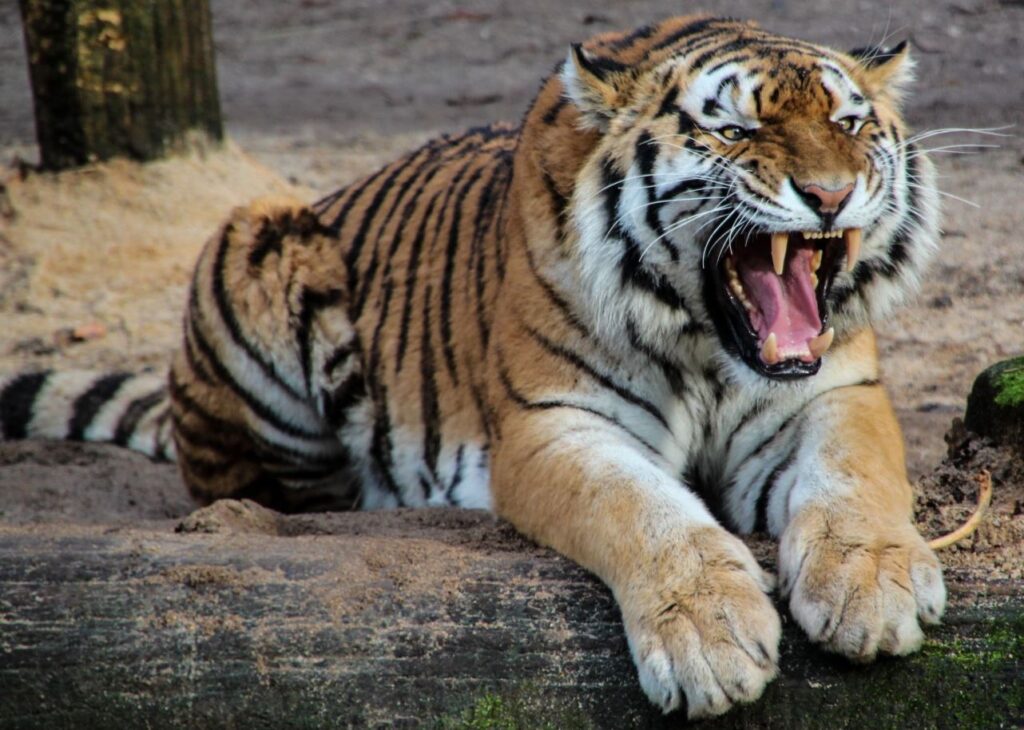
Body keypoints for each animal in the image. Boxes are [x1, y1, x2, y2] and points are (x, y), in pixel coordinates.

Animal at [0, 16, 946, 718]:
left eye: (849, 124)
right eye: (735, 129)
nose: (830, 194)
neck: (708, 345)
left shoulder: (835, 392)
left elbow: (855, 476)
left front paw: (873, 588)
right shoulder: (553, 424)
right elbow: (646, 512)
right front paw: (709, 640)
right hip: (256, 237)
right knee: (258, 488)